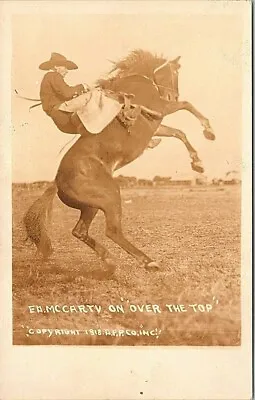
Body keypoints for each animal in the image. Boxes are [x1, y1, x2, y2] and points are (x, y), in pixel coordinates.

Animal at [23, 49, 215, 278]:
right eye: (175, 72)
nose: (172, 95)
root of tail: (56, 182)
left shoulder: (157, 123)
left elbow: (179, 133)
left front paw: (198, 163)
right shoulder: (162, 108)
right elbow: (187, 105)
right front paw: (209, 131)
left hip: (91, 207)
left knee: (80, 231)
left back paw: (109, 260)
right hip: (111, 197)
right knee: (112, 231)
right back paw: (148, 262)